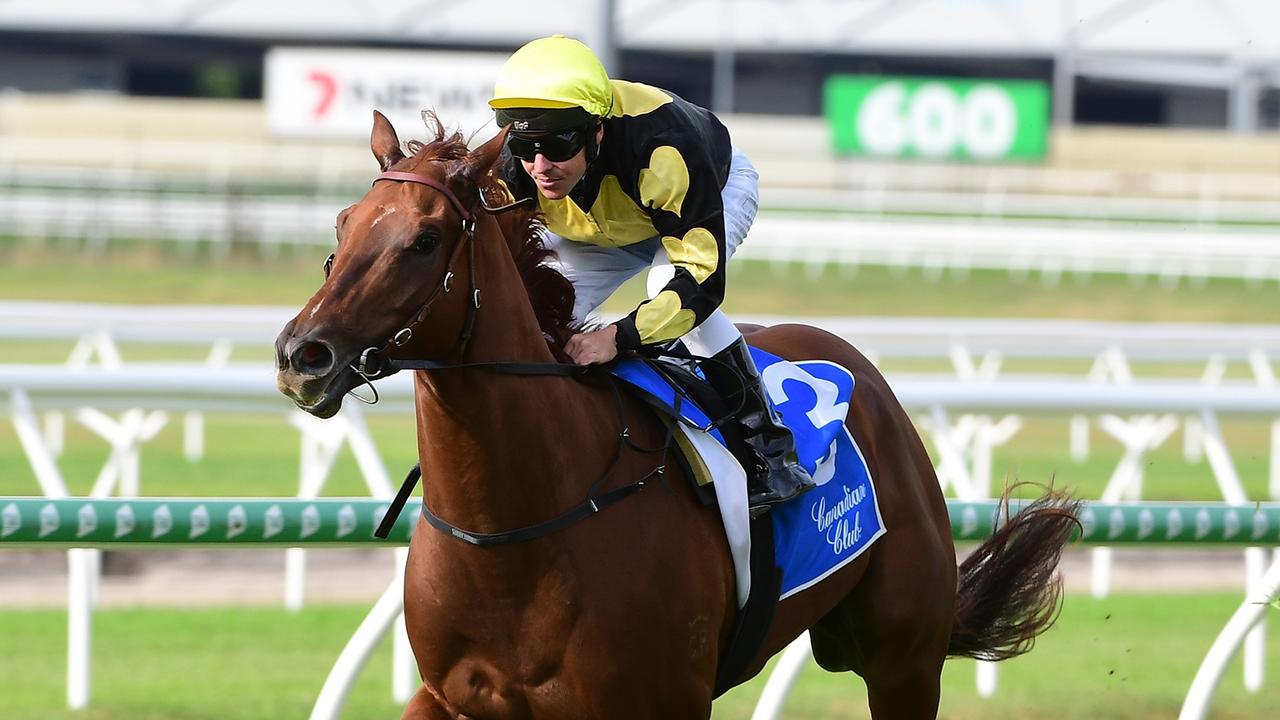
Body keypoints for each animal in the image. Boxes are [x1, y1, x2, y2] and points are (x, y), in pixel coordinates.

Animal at [277, 109, 1080, 712]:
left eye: (424, 240)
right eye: (344, 226)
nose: (300, 355)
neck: (516, 533)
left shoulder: (664, 698)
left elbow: (697, 273)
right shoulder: (452, 697)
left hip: (901, 659)